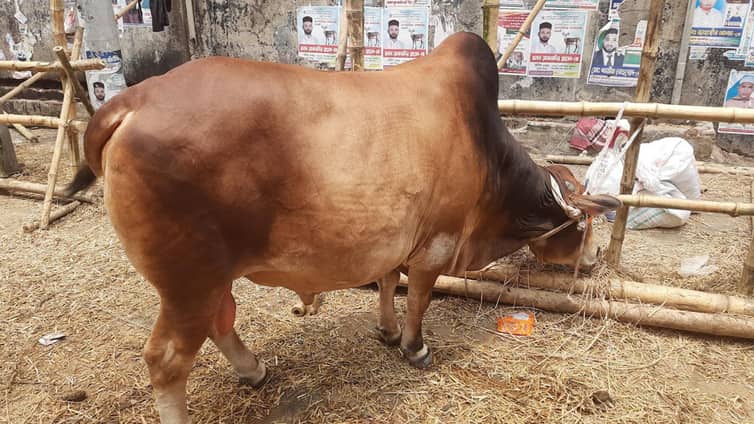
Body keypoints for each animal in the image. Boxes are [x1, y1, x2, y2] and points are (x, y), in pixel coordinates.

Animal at [63, 32, 620, 423]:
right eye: (588, 222)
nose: (594, 258)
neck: (489, 156)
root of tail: (131, 101)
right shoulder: (435, 248)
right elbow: (418, 299)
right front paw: (415, 347)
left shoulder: (394, 242)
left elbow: (387, 284)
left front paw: (387, 332)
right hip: (188, 282)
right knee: (167, 360)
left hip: (208, 279)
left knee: (221, 322)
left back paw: (254, 370)